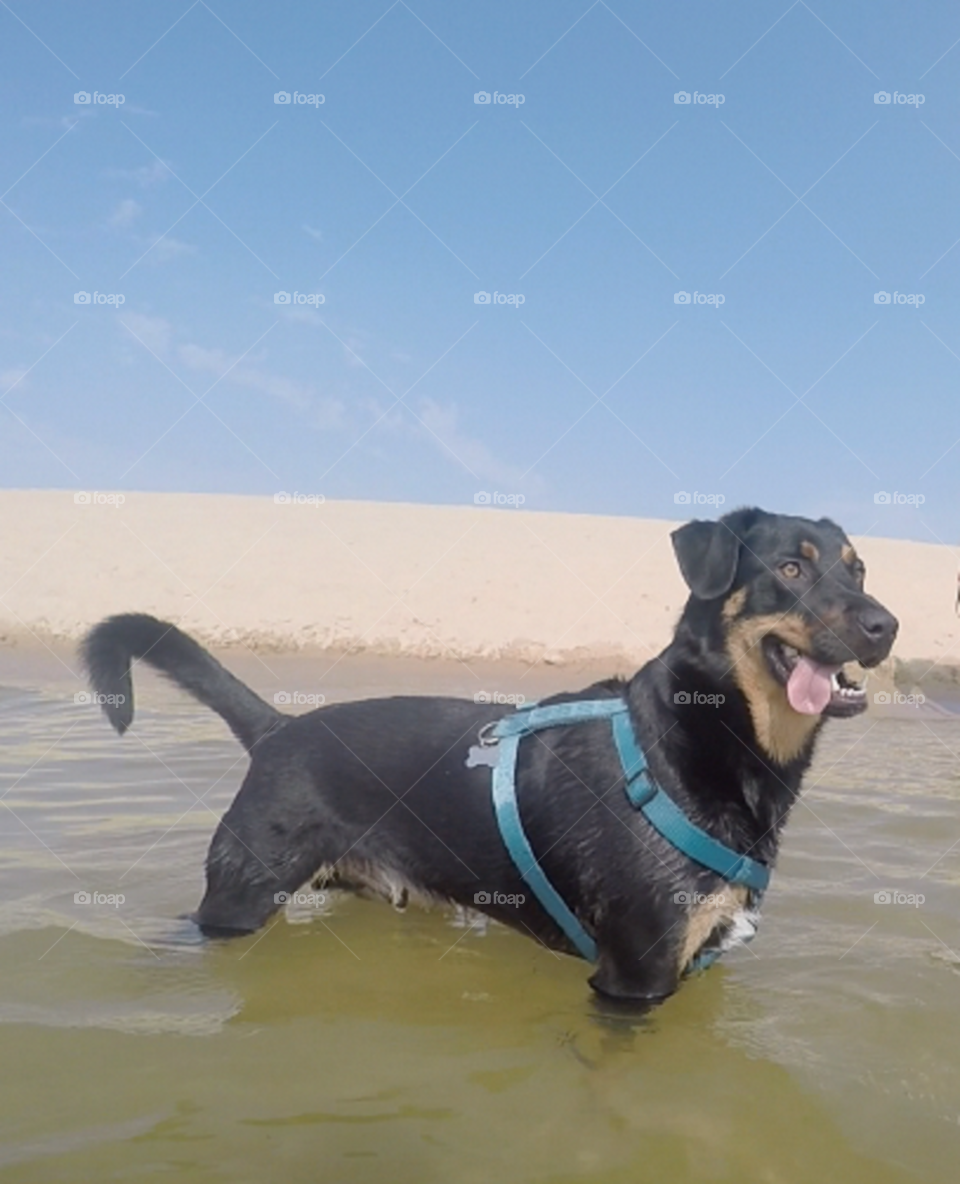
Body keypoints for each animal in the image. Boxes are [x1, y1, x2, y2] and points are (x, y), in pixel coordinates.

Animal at [84, 509, 899, 1008]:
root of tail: (277, 729)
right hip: (239, 897)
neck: (705, 738)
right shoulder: (634, 977)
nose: (886, 625)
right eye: (790, 570)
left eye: (858, 570)